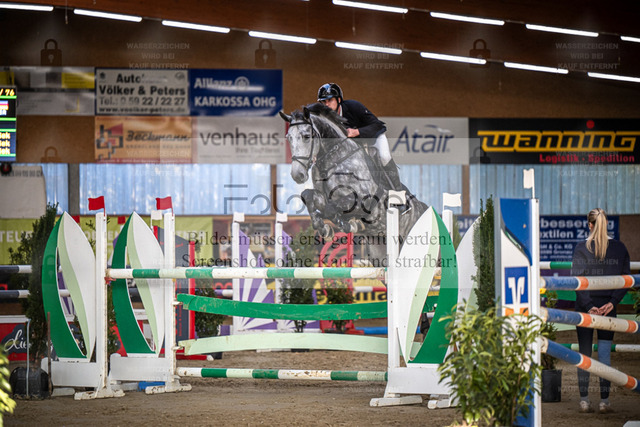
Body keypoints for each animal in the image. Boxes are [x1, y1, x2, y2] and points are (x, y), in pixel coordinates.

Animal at [279, 103, 428, 265]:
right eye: (288, 138)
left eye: (306, 136)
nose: (297, 175)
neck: (334, 160)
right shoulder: (324, 197)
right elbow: (309, 196)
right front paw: (324, 227)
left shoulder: (363, 200)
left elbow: (332, 210)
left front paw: (345, 224)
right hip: (379, 251)